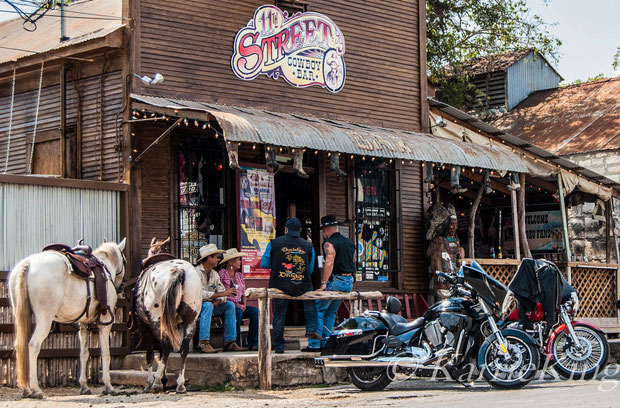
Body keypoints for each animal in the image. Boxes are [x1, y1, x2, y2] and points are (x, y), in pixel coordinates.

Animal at [9, 239, 127, 398]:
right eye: (124, 260)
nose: (121, 287)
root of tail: (28, 263)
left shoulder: (83, 325)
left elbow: (84, 354)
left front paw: (84, 386)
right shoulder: (105, 323)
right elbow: (105, 353)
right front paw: (108, 386)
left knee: (20, 346)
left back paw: (26, 389)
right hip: (45, 320)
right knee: (33, 345)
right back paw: (36, 389)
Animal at [134, 237, 202, 394]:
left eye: (152, 250)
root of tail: (178, 270)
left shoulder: (144, 325)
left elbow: (150, 353)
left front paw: (151, 382)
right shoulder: (175, 323)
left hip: (156, 319)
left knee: (165, 345)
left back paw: (157, 382)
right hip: (191, 318)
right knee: (183, 347)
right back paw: (180, 385)